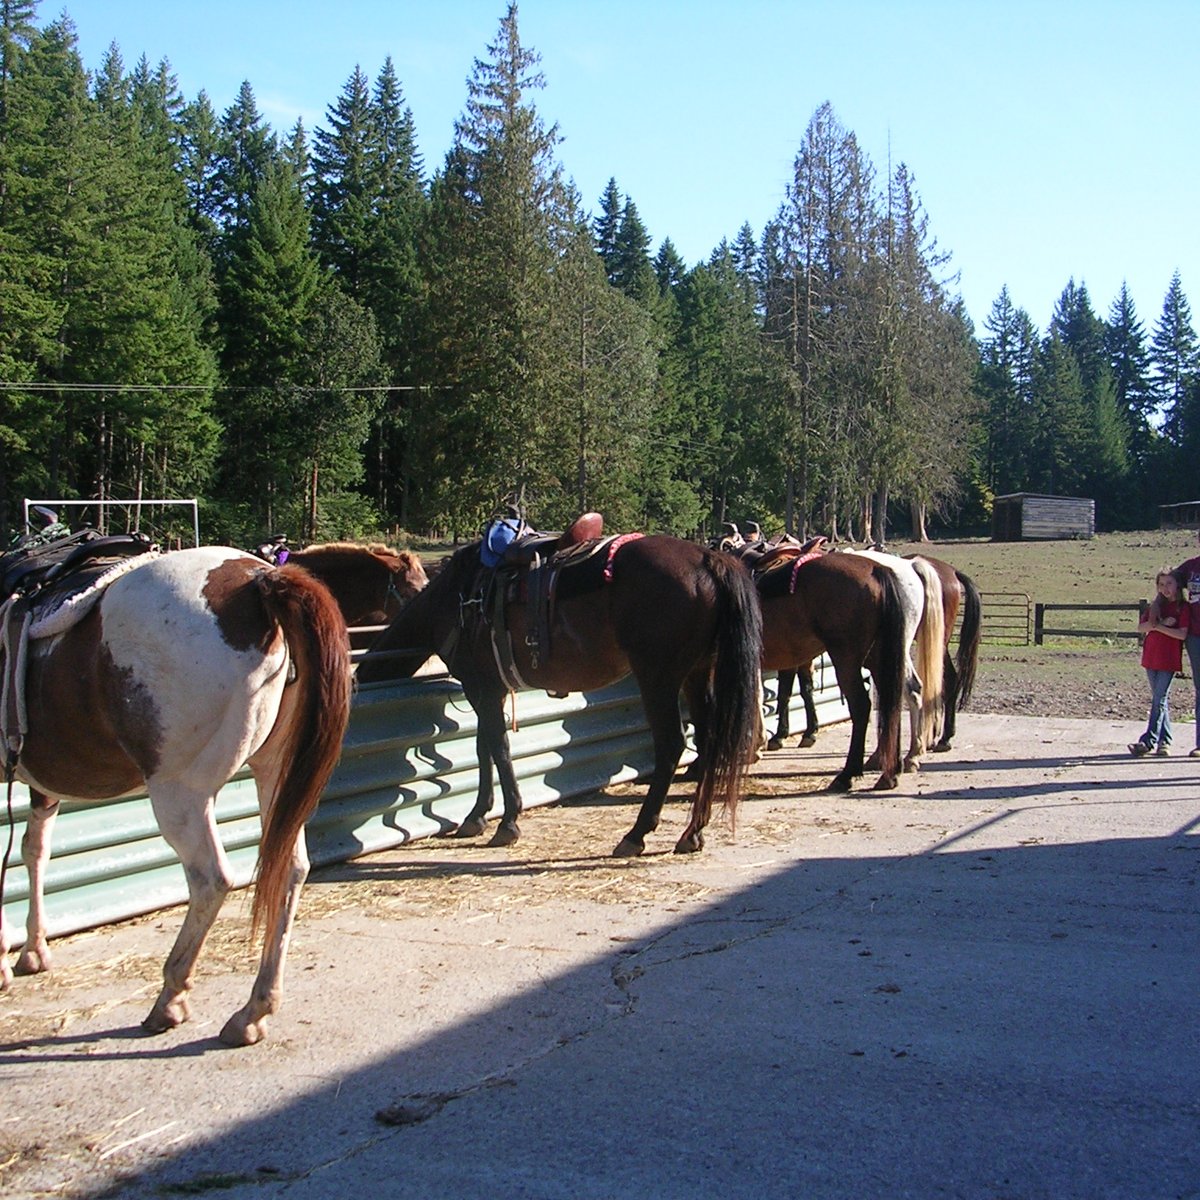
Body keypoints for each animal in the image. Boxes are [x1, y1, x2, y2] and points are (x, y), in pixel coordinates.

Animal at [360, 532, 763, 854]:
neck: (456, 599)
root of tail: (708, 559)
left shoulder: (482, 688)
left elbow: (497, 748)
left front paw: (507, 822)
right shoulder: (490, 689)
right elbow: (483, 747)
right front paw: (477, 816)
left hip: (658, 678)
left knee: (671, 746)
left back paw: (635, 835)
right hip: (697, 673)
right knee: (708, 741)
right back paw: (693, 832)